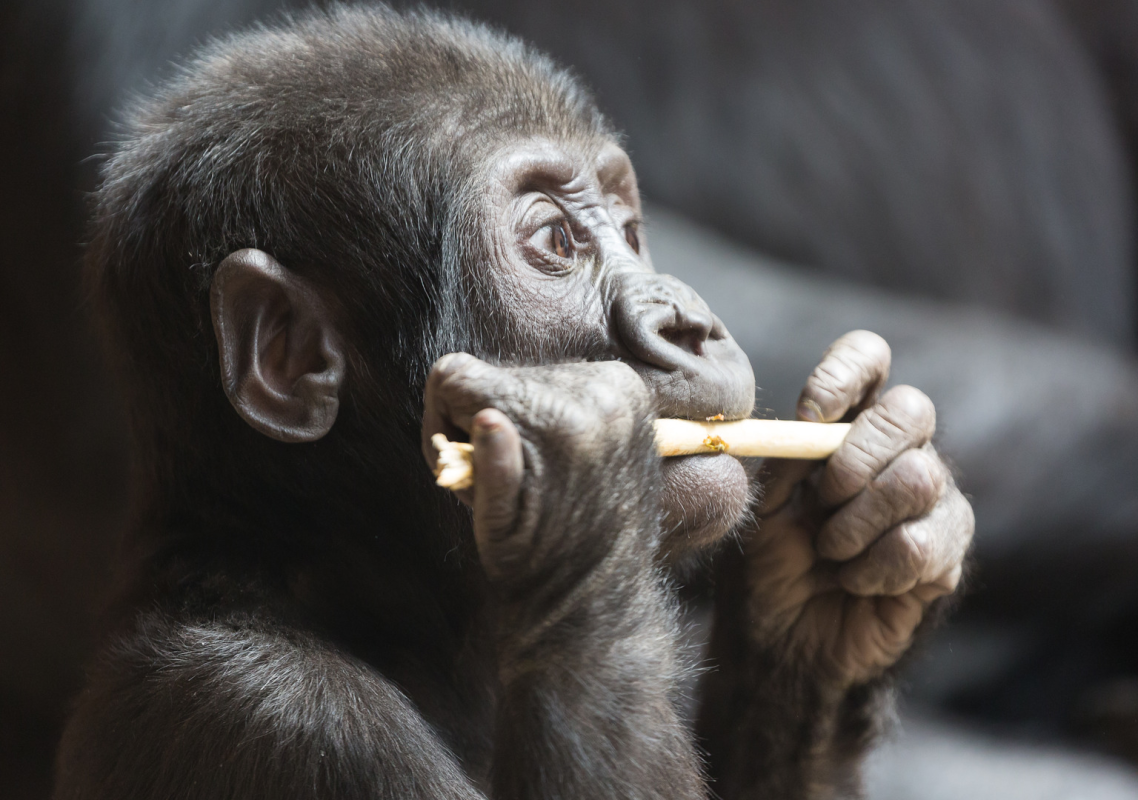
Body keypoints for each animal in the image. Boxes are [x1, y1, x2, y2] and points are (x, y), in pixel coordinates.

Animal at [51, 5, 972, 799]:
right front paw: (586, 484)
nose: (692, 323)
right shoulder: (273, 711)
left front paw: (838, 561)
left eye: (630, 233)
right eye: (556, 241)